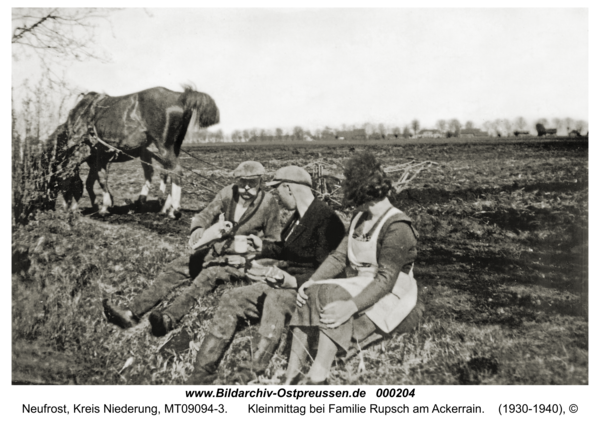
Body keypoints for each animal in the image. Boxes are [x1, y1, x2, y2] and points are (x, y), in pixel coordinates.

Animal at [51, 85, 219, 220]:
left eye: (59, 182)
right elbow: (94, 181)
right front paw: (102, 205)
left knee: (174, 171)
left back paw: (173, 210)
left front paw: (104, 206)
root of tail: (180, 96)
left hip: (163, 147)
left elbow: (99, 179)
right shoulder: (98, 158)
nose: (64, 209)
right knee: (167, 171)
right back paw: (164, 206)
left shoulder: (96, 156)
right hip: (171, 148)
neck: (83, 115)